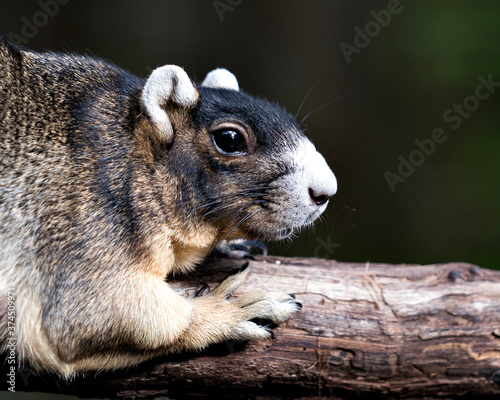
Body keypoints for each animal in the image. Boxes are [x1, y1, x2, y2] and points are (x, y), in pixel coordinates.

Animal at [0, 39, 336, 376]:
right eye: (229, 139)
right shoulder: (80, 230)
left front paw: (231, 246)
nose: (326, 191)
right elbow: (91, 316)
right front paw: (230, 311)